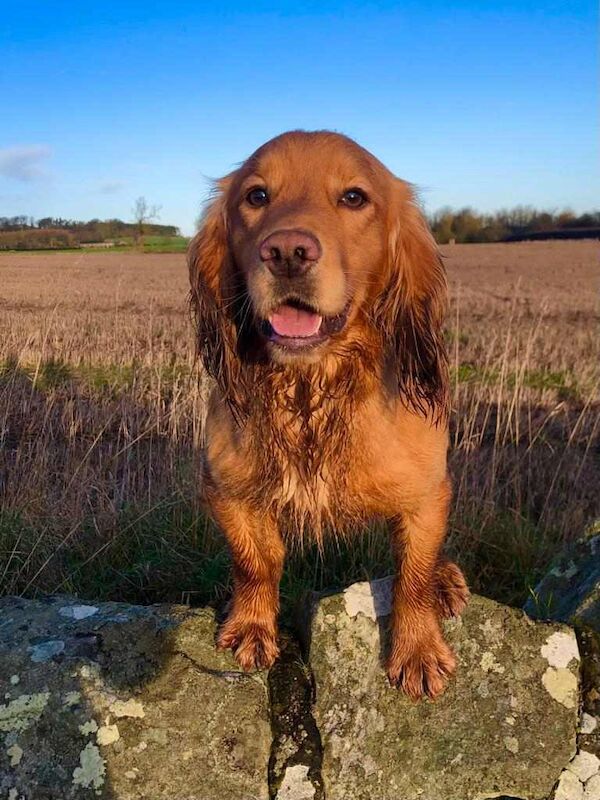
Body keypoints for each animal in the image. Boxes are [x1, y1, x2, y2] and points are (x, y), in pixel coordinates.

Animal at [190, 128, 472, 696]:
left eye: (354, 197)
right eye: (256, 196)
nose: (286, 252)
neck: (310, 390)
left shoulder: (425, 494)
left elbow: (413, 574)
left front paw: (418, 650)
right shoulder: (227, 489)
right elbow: (255, 562)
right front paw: (252, 625)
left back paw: (447, 581)